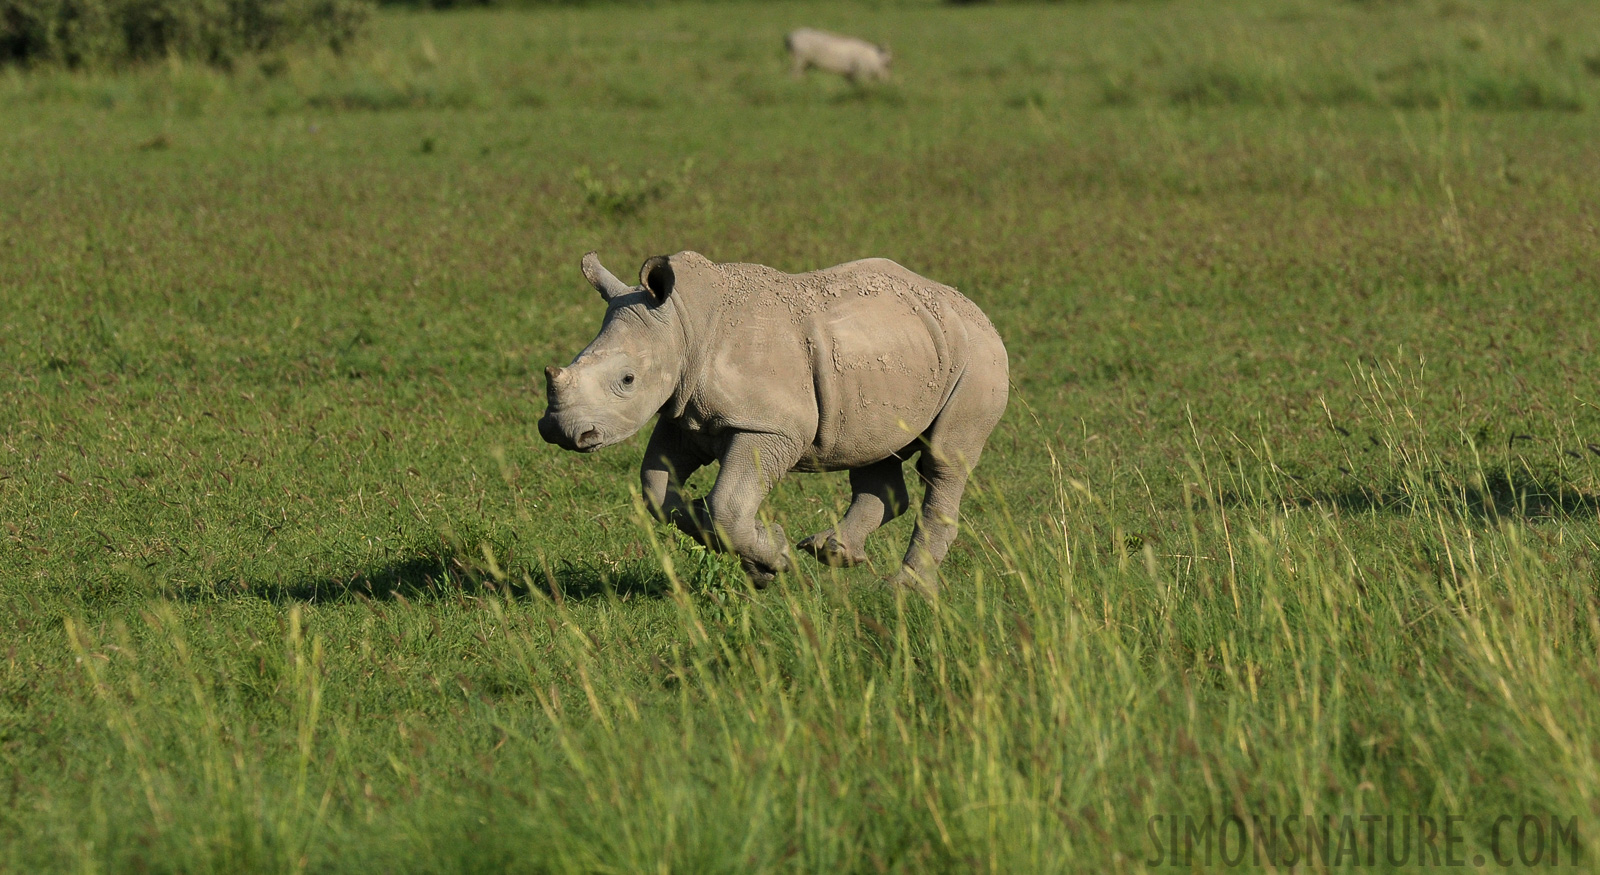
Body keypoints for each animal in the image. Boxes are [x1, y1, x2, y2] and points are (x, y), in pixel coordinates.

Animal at [544, 252, 1004, 595]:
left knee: (944, 461)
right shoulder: (684, 415)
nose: (563, 432)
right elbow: (657, 490)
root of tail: (973, 308)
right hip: (895, 358)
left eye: (627, 380)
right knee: (873, 451)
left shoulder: (768, 426)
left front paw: (775, 559)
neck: (684, 325)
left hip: (977, 356)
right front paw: (754, 554)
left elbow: (728, 505)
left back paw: (904, 589)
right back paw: (832, 553)